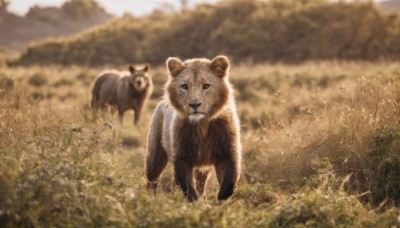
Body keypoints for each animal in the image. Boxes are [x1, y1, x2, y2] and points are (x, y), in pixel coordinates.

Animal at [146, 55, 242, 201]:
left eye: (206, 86)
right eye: (184, 86)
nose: (194, 104)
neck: (202, 124)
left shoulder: (227, 153)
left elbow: (228, 185)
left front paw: (221, 204)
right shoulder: (182, 156)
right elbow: (189, 188)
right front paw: (196, 204)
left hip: (203, 167)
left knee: (200, 183)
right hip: (155, 155)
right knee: (152, 179)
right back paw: (149, 198)